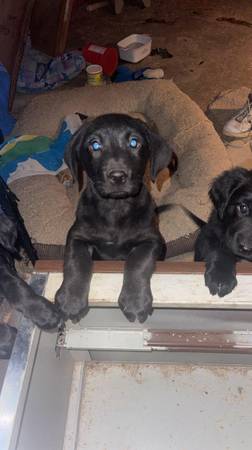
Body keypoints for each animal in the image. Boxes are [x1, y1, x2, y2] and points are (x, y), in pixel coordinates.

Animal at [55, 112, 172, 324]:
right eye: (94, 145)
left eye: (134, 142)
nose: (117, 176)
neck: (115, 208)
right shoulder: (77, 235)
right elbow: (76, 262)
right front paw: (71, 300)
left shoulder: (151, 240)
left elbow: (138, 261)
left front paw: (135, 301)